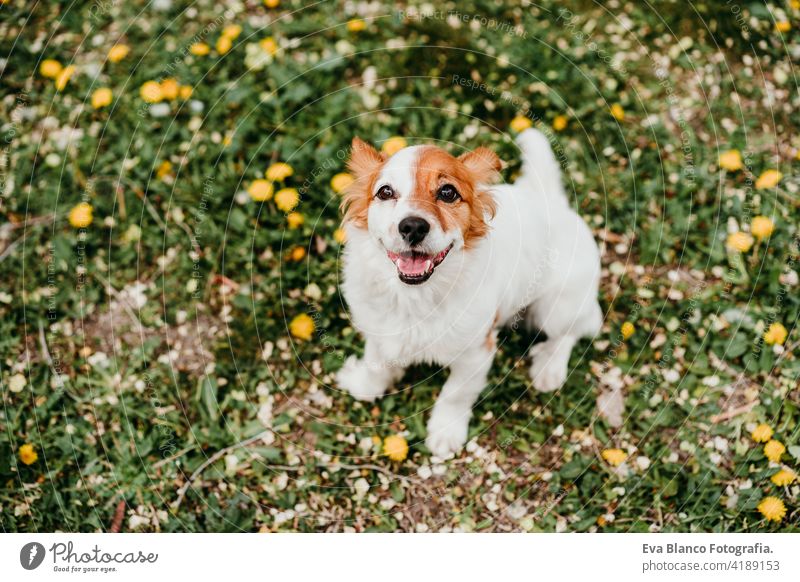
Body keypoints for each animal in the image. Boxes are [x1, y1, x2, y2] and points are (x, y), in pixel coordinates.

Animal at [334, 129, 604, 460]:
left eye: (448, 192)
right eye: (385, 192)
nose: (413, 226)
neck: (415, 296)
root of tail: (552, 202)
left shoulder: (476, 353)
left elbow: (455, 394)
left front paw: (445, 432)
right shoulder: (377, 327)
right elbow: (376, 361)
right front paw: (364, 384)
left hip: (556, 307)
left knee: (579, 328)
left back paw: (549, 367)